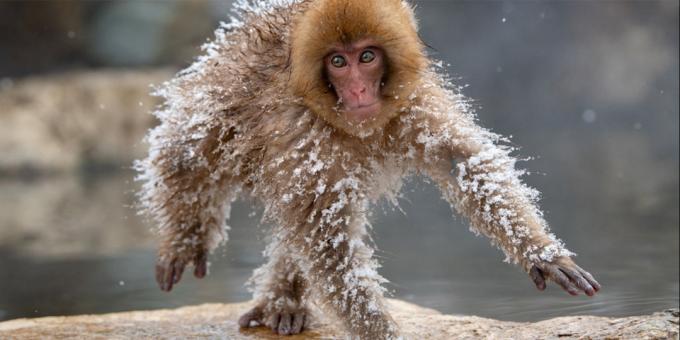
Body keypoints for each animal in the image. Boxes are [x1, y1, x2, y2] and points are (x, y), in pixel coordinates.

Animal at [137, 0, 600, 338]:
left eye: (368, 56)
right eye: (338, 62)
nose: (359, 90)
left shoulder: (412, 104)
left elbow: (461, 164)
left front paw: (541, 253)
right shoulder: (302, 131)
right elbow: (325, 239)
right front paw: (381, 333)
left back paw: (284, 298)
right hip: (218, 91)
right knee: (186, 151)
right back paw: (189, 236)